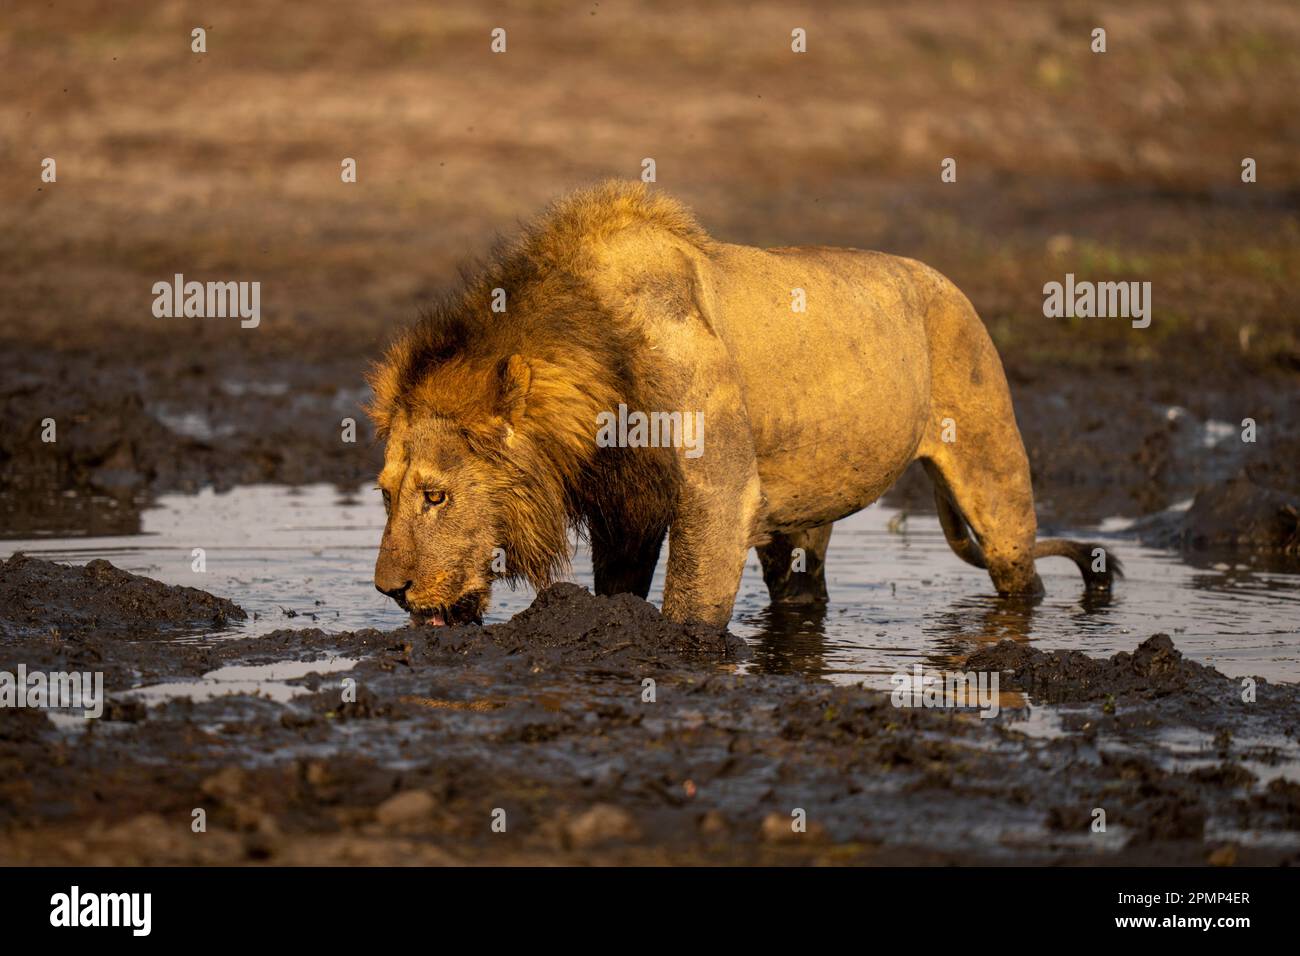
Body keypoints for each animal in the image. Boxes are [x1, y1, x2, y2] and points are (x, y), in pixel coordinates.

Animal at [366, 180, 1118, 629]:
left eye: (436, 495)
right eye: (385, 494)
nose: (389, 591)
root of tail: (944, 280)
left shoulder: (717, 493)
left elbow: (691, 607)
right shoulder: (627, 504)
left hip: (993, 469)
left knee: (1017, 568)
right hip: (800, 519)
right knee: (803, 583)